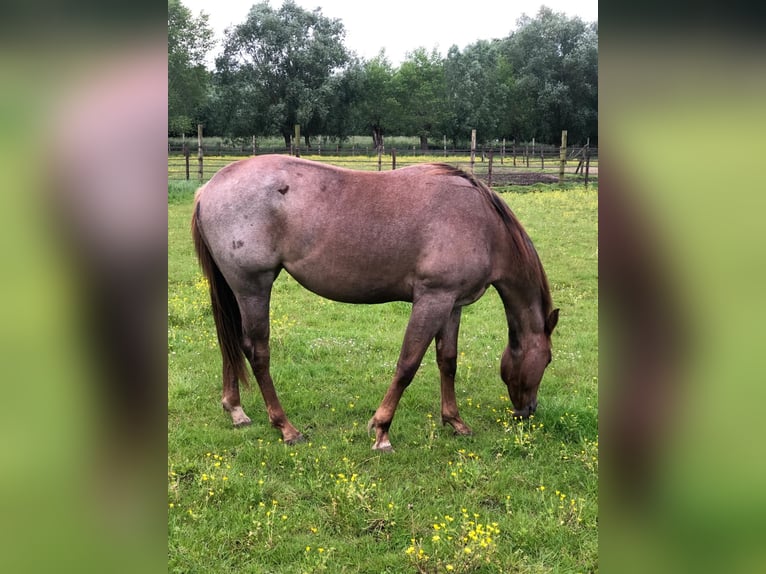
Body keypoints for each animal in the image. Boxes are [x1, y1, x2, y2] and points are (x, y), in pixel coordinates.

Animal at [191, 155, 560, 452]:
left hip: (235, 289)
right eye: (548, 360)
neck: (482, 224)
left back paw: (236, 410)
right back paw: (285, 427)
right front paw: (382, 431)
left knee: (230, 343)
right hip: (253, 287)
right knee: (257, 352)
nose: (528, 411)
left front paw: (455, 421)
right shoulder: (432, 299)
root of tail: (208, 188)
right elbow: (407, 365)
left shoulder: (452, 303)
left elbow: (448, 361)